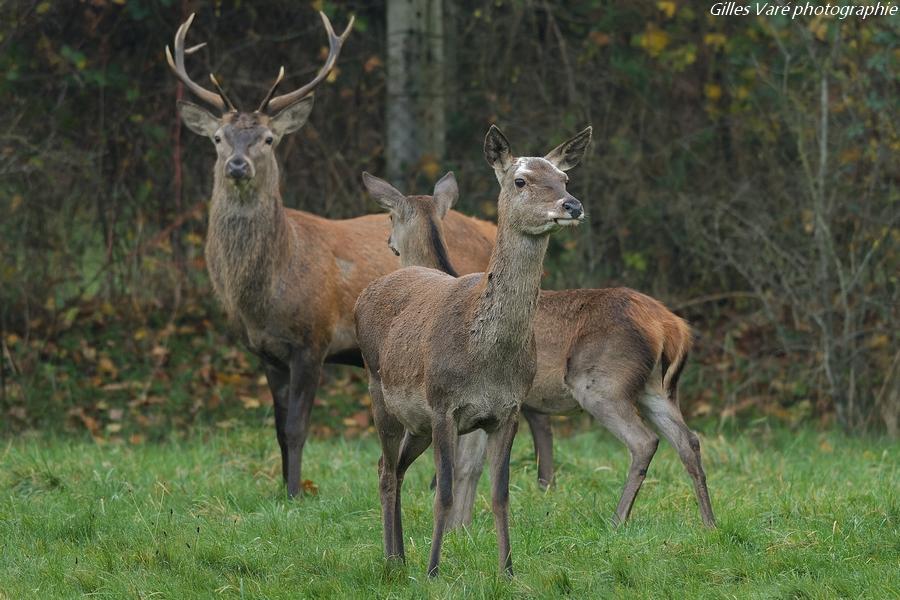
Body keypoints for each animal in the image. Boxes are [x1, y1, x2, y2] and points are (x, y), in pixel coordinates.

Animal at [165, 12, 496, 496]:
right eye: (218, 139)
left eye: (268, 138)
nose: (238, 165)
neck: (265, 291)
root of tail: (491, 229)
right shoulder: (266, 352)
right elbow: (278, 429)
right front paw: (283, 490)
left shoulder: (313, 339)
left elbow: (298, 427)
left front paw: (295, 492)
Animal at [366, 165, 716, 528]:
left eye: (389, 216)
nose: (388, 243)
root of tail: (673, 327)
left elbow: (466, 466)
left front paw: (458, 526)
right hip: (655, 387)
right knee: (689, 441)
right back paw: (709, 523)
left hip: (602, 383)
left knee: (645, 441)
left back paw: (617, 520)